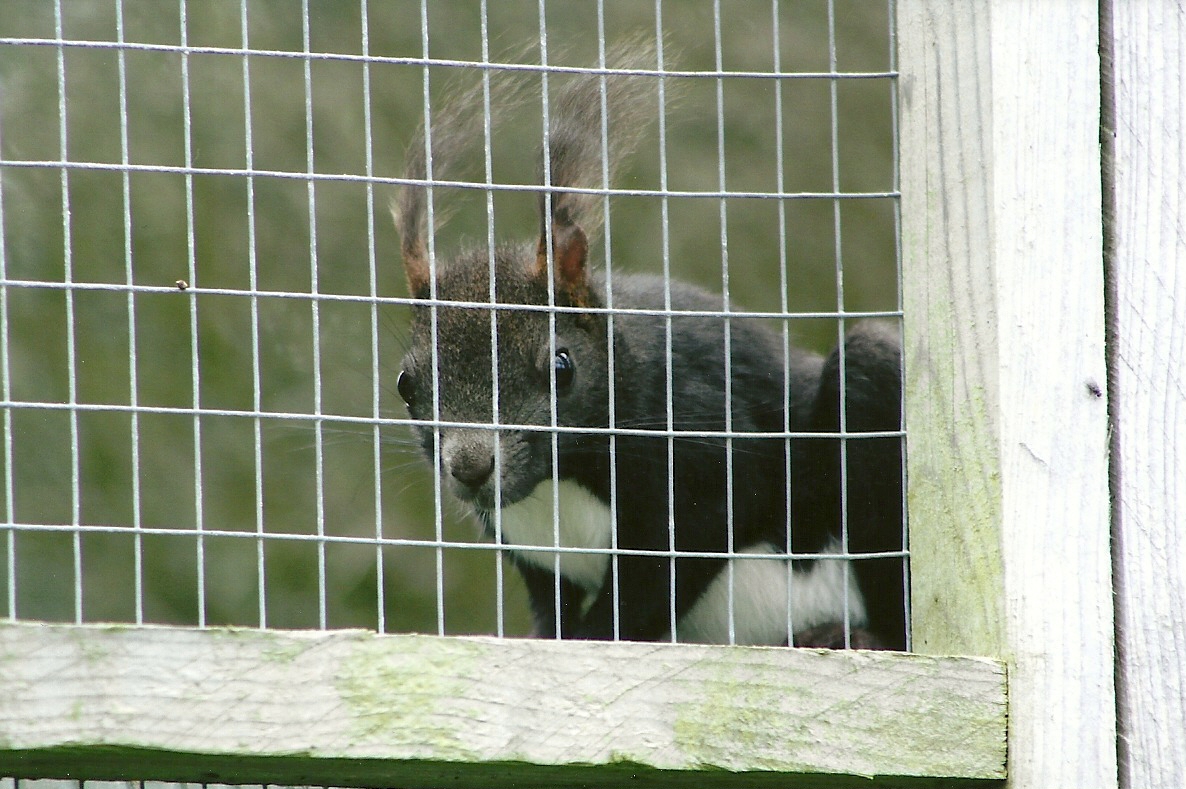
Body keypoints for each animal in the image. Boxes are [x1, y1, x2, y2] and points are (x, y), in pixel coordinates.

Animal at [393, 43, 905, 649]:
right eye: (405, 384)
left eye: (562, 367)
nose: (470, 467)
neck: (559, 481)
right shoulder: (529, 548)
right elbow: (551, 608)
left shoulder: (704, 447)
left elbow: (652, 584)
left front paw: (593, 637)